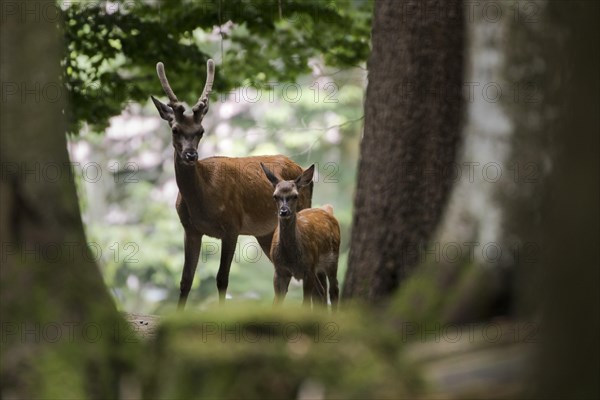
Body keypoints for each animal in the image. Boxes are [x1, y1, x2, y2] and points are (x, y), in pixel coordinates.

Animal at [151, 60, 314, 310]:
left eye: (201, 131)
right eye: (175, 129)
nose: (190, 155)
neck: (203, 199)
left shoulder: (232, 226)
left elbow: (222, 279)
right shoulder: (190, 228)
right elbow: (186, 279)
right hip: (266, 232)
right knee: (281, 274)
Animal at [260, 162, 340, 310]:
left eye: (295, 195)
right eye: (275, 196)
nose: (284, 211)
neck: (291, 258)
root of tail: (327, 209)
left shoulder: (308, 270)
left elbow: (305, 304)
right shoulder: (279, 271)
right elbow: (276, 304)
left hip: (332, 259)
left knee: (334, 289)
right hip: (317, 268)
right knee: (322, 292)